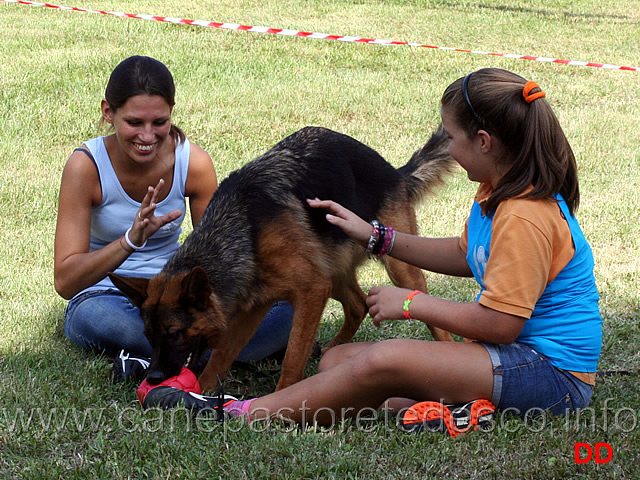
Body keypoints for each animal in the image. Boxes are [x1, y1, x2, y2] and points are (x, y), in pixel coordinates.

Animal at [112, 125, 458, 392]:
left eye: (172, 333)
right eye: (148, 335)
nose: (154, 379)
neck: (243, 229)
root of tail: (393, 172)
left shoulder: (310, 290)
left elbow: (292, 355)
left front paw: (282, 397)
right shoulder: (254, 306)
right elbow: (223, 353)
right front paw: (205, 390)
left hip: (398, 268)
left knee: (430, 319)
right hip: (332, 273)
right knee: (358, 305)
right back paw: (333, 351)